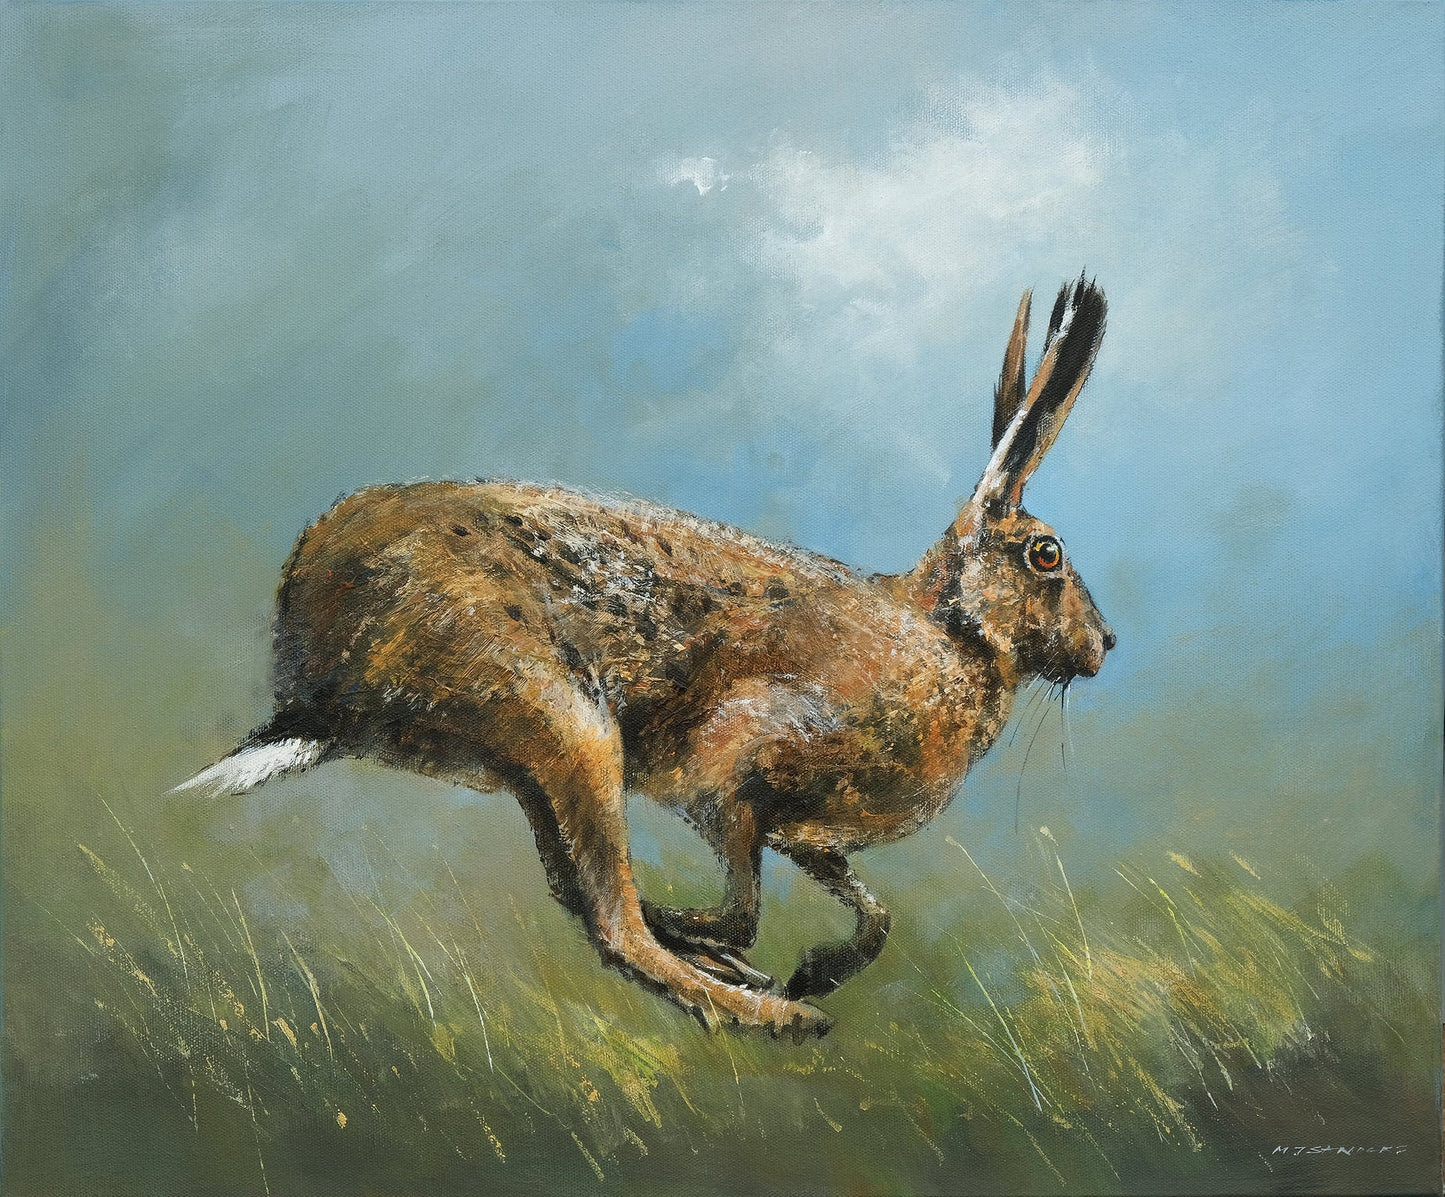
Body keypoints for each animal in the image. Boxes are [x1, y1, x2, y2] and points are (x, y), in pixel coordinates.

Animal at [175, 277, 1114, 1039]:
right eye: (1046, 555)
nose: (1106, 646)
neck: (951, 634)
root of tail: (317, 681)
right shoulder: (735, 781)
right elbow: (742, 906)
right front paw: (775, 969)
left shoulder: (812, 839)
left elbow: (871, 913)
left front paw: (815, 965)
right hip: (568, 724)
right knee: (612, 924)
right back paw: (770, 1014)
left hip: (537, 763)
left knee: (575, 893)